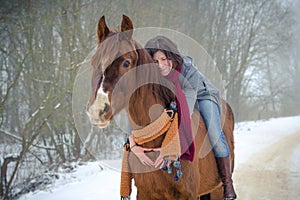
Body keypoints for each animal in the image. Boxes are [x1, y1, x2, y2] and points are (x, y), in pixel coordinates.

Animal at [85, 14, 236, 199]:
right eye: (94, 62)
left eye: (126, 63)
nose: (97, 110)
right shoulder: (144, 193)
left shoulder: (188, 195)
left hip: (217, 189)